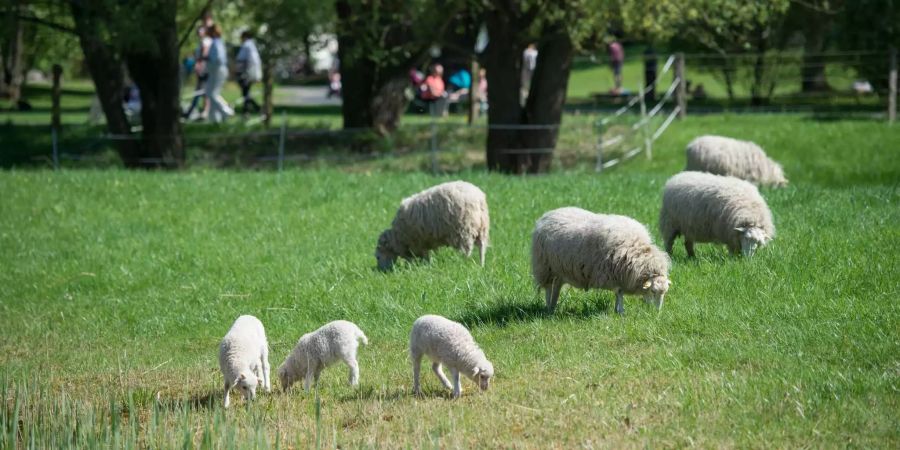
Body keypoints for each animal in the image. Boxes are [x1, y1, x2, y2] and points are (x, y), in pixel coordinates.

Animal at [532, 207, 672, 314]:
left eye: (665, 292)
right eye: (653, 291)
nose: (657, 313)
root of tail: (548, 214)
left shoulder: (620, 276)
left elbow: (618, 293)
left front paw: (617, 310)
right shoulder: (614, 274)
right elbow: (619, 293)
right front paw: (620, 311)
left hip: (560, 270)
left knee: (556, 288)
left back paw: (553, 307)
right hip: (545, 267)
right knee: (549, 288)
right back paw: (548, 308)